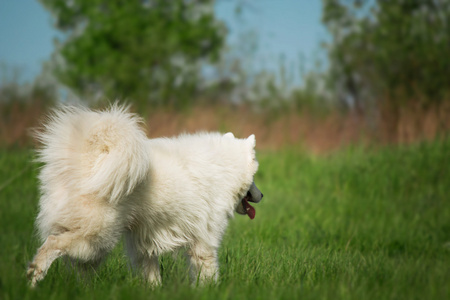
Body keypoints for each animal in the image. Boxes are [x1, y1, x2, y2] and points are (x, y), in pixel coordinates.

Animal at [26, 104, 262, 288]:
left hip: (93, 244)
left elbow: (150, 274)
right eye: (254, 178)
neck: (222, 166)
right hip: (96, 237)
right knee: (53, 243)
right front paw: (210, 291)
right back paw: (35, 276)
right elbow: (208, 272)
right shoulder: (204, 242)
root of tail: (87, 158)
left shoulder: (143, 243)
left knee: (78, 267)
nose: (261, 194)